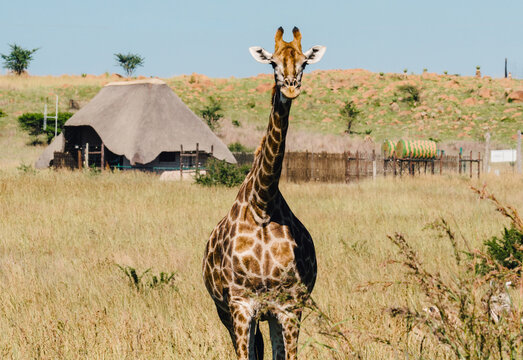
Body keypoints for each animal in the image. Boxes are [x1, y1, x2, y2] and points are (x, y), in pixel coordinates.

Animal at [203, 27, 326, 360]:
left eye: (304, 63)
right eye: (272, 63)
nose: (291, 88)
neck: (263, 205)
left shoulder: (289, 305)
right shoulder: (240, 304)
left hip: (269, 314)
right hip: (225, 311)